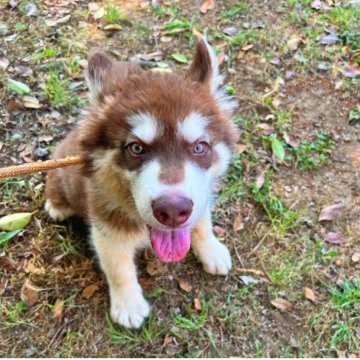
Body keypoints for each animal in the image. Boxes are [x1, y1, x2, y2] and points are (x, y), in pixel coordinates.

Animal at [43, 36, 238, 330]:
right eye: (136, 148)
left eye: (200, 147)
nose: (173, 211)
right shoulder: (108, 229)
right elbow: (119, 268)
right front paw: (128, 304)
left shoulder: (201, 196)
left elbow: (202, 221)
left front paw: (211, 249)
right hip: (58, 172)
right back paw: (56, 207)